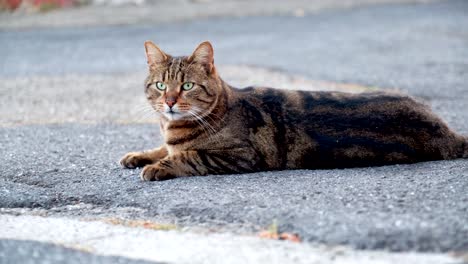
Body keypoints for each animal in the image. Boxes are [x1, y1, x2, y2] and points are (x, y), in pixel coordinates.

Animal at [120, 40, 468, 182]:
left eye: (188, 86)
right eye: (161, 85)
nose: (169, 102)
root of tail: (446, 130)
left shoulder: (240, 155)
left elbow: (188, 156)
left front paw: (158, 166)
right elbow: (161, 148)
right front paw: (139, 155)